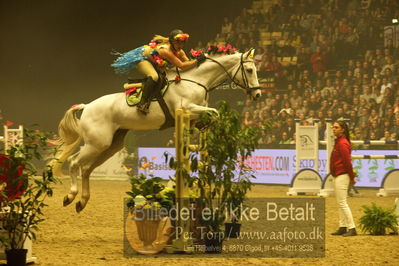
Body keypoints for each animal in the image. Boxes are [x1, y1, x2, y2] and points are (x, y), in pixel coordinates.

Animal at [50, 49, 262, 212]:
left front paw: (201, 128)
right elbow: (215, 113)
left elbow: (210, 115)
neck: (196, 81)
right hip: (96, 143)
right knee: (74, 162)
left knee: (86, 168)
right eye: (249, 70)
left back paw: (82, 202)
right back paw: (70, 196)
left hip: (111, 145)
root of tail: (86, 106)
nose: (258, 94)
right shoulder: (187, 108)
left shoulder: (195, 111)